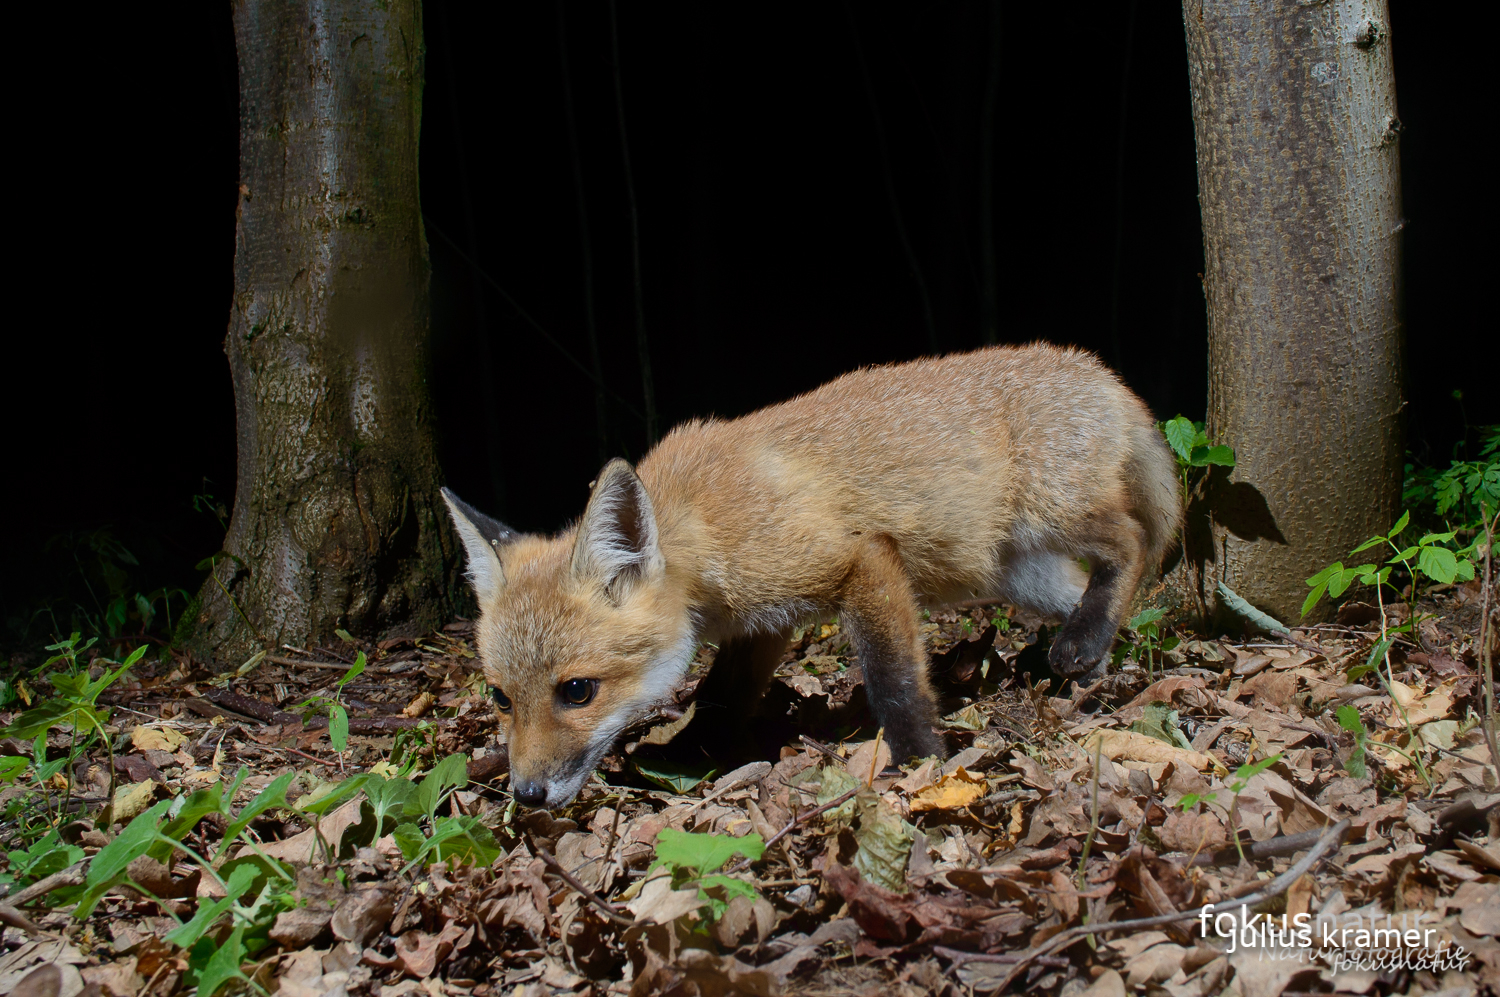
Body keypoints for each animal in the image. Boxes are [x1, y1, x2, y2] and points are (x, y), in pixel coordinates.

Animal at [438, 344, 1176, 809]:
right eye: (500, 698)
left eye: (577, 691)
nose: (527, 796)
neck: (704, 526)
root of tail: (1094, 367)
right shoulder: (760, 621)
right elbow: (719, 696)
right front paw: (688, 756)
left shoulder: (859, 559)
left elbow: (894, 677)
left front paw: (921, 760)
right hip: (1016, 569)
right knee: (1088, 589)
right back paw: (1093, 658)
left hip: (1055, 515)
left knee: (1132, 543)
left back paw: (1085, 645)